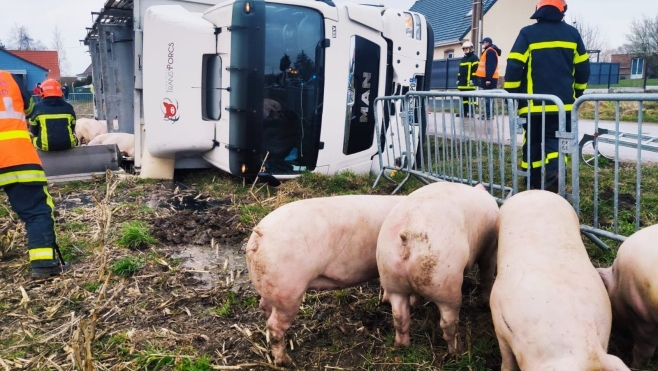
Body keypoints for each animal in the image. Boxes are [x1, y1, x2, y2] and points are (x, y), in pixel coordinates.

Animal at [243, 196, 402, 368]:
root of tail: (259, 235)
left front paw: (384, 300)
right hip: (288, 293)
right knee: (275, 326)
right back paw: (286, 362)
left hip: (271, 288)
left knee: (264, 307)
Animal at [374, 183, 498, 354]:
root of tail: (407, 236)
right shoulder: (489, 249)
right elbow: (486, 275)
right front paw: (486, 304)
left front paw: (416, 303)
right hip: (445, 284)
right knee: (447, 322)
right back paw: (458, 351)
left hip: (391, 278)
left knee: (399, 316)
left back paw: (402, 344)